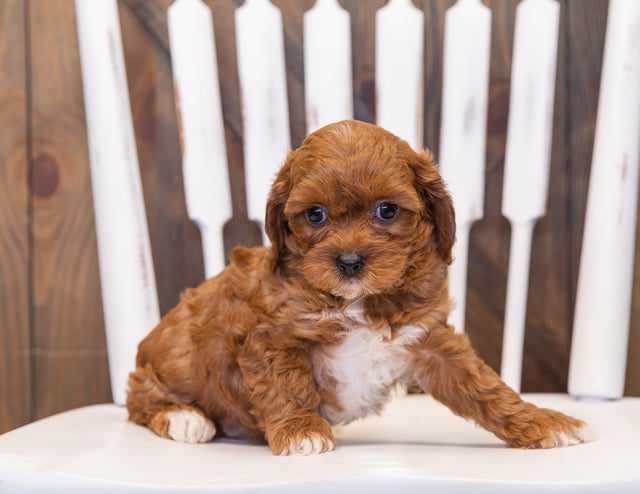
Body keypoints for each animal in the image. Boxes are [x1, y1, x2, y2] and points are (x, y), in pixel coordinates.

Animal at [125, 119, 592, 456]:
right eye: (314, 215)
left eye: (387, 210)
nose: (349, 262)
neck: (361, 302)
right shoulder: (268, 337)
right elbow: (287, 385)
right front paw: (302, 431)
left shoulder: (429, 340)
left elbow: (486, 386)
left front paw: (542, 421)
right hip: (163, 364)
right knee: (139, 403)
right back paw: (186, 418)